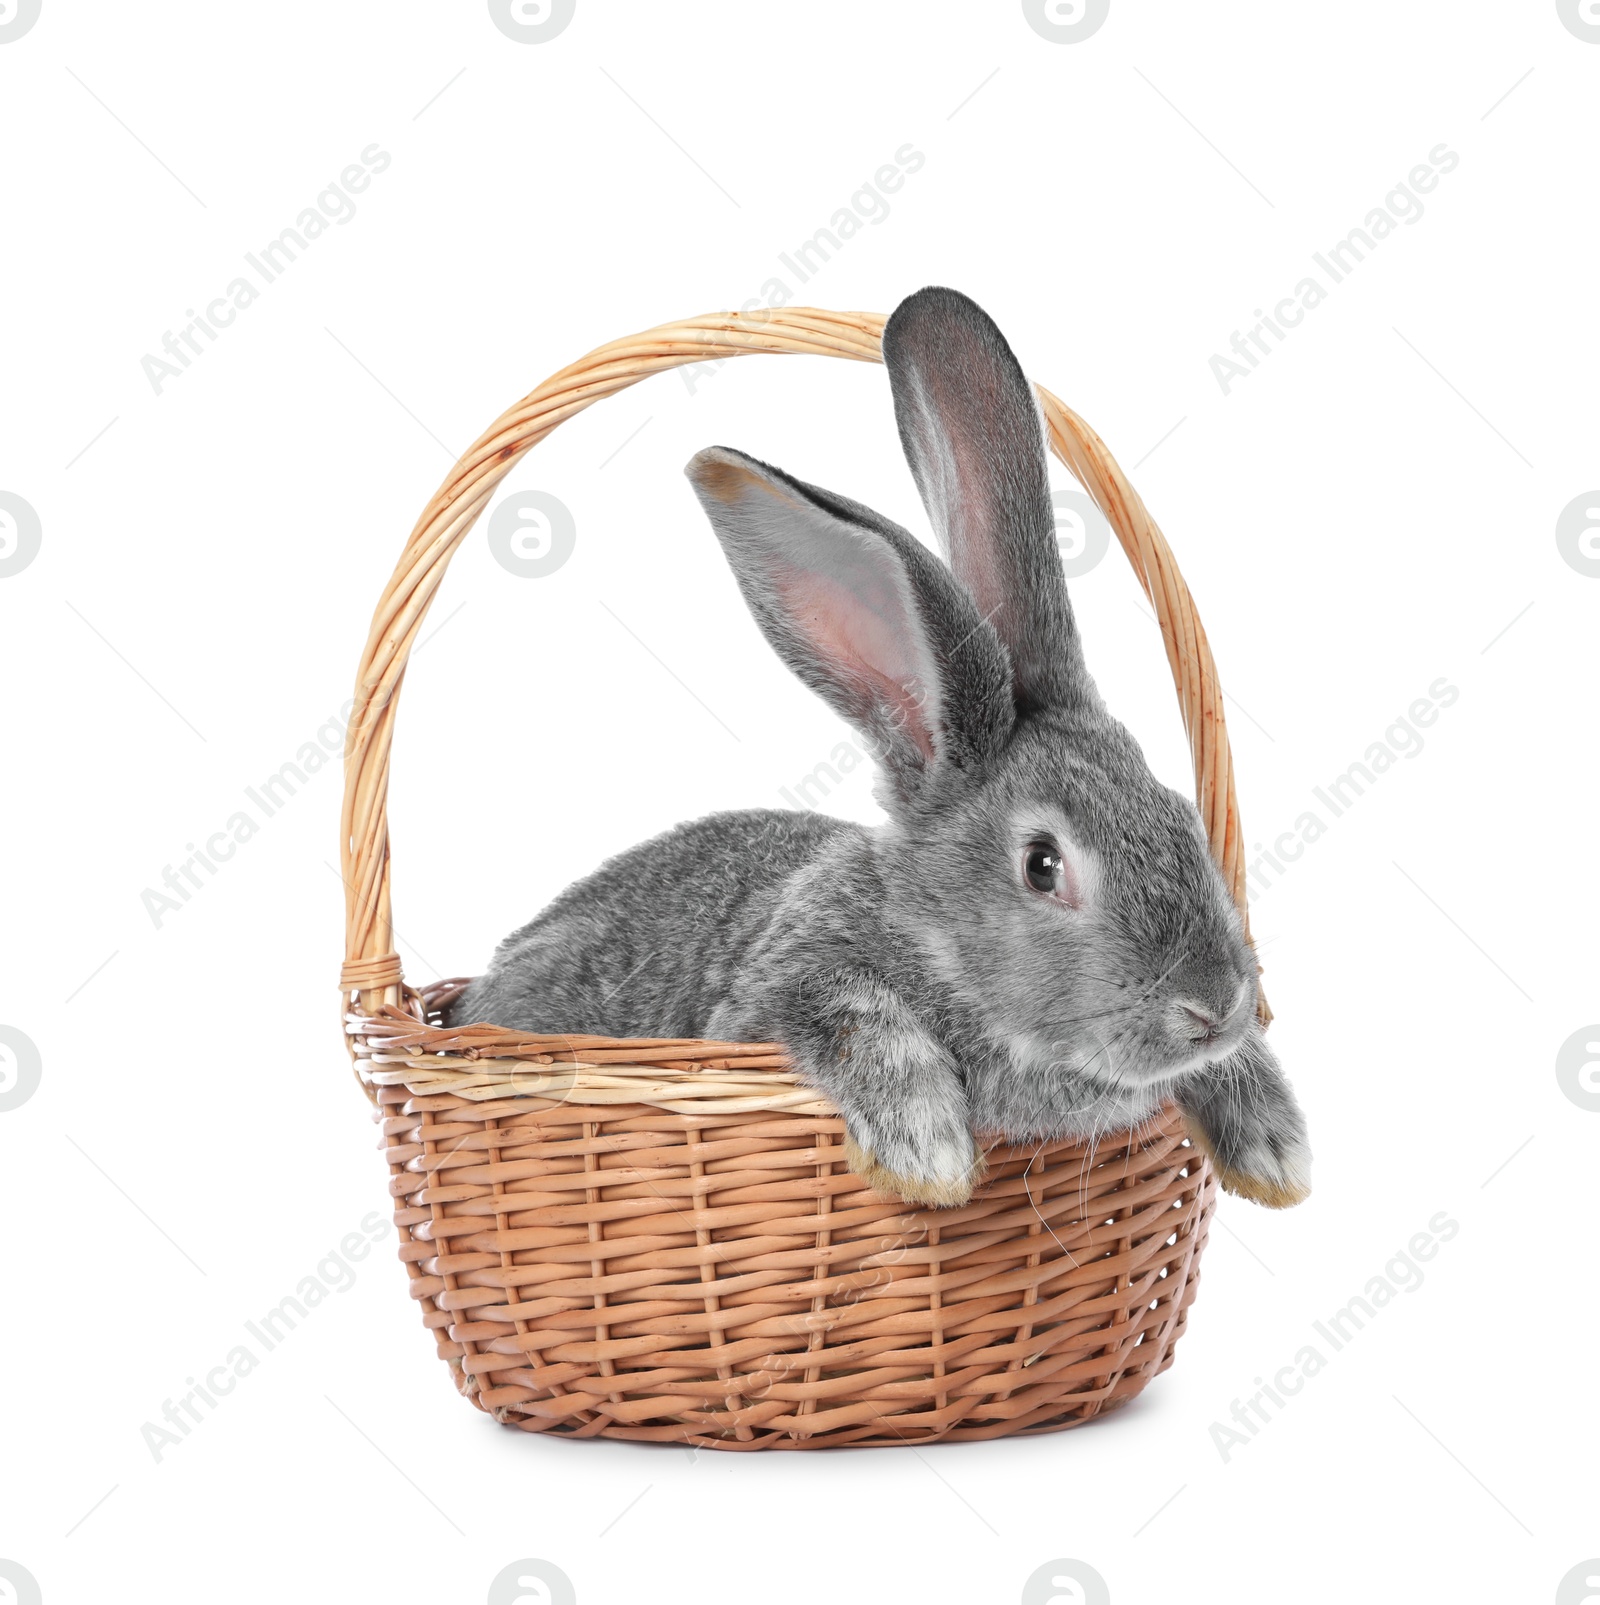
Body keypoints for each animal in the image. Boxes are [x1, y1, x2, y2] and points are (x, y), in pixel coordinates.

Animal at [449, 292, 1309, 1213]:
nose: (1213, 1005)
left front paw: (1273, 1146)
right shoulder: (779, 995)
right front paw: (926, 1150)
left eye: (1181, 812)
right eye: (1043, 864)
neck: (930, 936)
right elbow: (853, 1011)